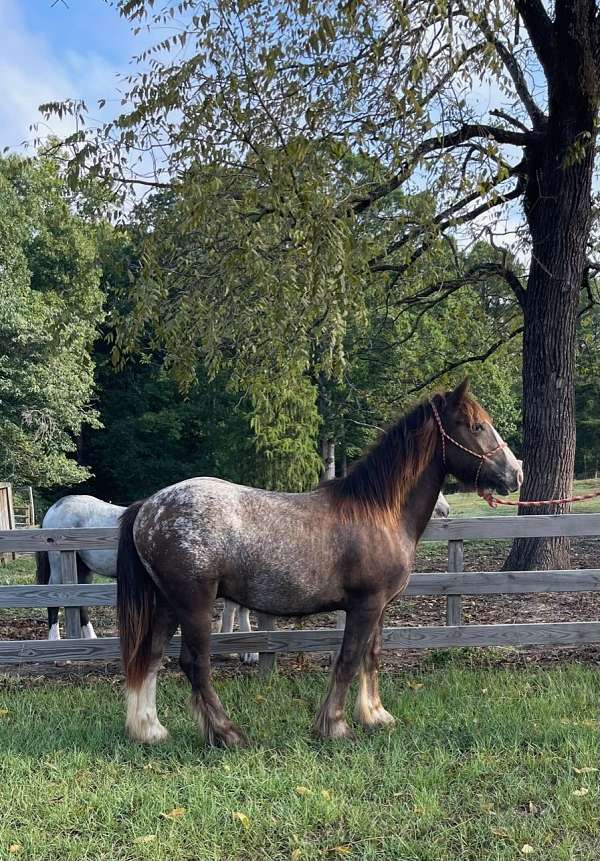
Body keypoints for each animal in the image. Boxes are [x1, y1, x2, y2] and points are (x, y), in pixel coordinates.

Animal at [35, 498, 258, 660]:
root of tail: (56, 507)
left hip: (83, 571)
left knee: (80, 604)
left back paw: (91, 640)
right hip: (59, 567)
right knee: (53, 600)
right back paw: (57, 649)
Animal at [117, 380, 520, 744]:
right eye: (476, 426)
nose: (514, 474)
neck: (378, 511)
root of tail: (149, 508)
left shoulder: (379, 607)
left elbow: (371, 655)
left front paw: (375, 716)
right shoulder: (365, 605)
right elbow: (348, 659)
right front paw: (335, 725)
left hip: (168, 605)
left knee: (151, 656)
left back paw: (150, 730)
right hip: (194, 605)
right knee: (195, 664)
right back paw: (227, 733)